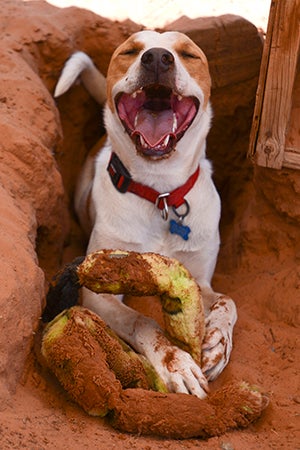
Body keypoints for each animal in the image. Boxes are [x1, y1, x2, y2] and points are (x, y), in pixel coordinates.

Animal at [54, 30, 237, 398]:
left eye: (188, 54)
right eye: (130, 51)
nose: (156, 58)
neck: (160, 192)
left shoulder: (201, 280)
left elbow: (228, 301)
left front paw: (218, 344)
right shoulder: (99, 293)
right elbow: (142, 320)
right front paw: (176, 363)